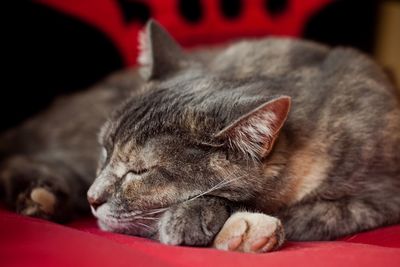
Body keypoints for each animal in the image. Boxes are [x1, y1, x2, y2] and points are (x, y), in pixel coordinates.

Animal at [0, 20, 400, 253]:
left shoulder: (377, 199)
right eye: (105, 150)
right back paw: (42, 197)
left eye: (140, 172)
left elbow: (297, 212)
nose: (93, 198)